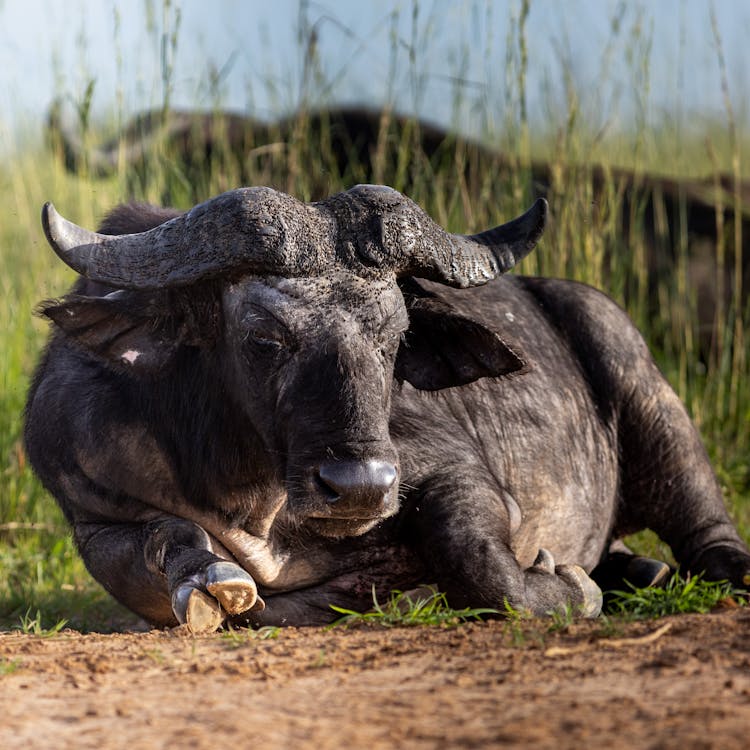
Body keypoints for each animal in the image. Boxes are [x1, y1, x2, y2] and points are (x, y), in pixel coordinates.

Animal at [25, 185, 750, 632]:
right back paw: (638, 569)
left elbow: (479, 560)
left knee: (702, 521)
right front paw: (208, 578)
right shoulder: (94, 512)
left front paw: (568, 585)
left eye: (396, 339)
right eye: (265, 340)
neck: (261, 500)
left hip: (637, 375)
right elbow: (169, 544)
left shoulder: (457, 471)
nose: (360, 487)